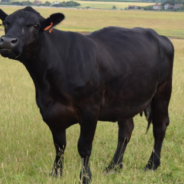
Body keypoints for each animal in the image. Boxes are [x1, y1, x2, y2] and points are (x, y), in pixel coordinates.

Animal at [0, 6, 173, 183]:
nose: (7, 41)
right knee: (126, 130)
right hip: (125, 99)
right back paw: (113, 167)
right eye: (6, 23)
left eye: (34, 25)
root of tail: (159, 36)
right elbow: (59, 145)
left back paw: (151, 165)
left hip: (163, 90)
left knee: (160, 126)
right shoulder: (50, 111)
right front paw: (56, 173)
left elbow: (84, 146)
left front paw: (85, 177)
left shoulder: (90, 110)